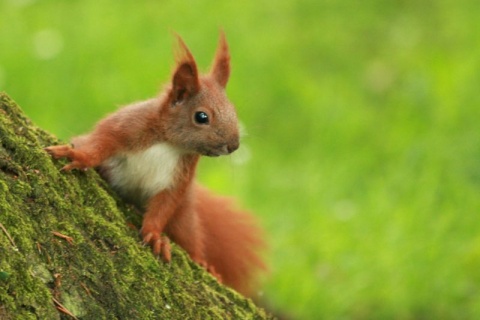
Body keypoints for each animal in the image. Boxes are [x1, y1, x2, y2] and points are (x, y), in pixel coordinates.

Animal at [44, 33, 266, 296]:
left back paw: (204, 263)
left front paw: (155, 235)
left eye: (233, 111)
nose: (233, 145)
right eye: (202, 117)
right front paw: (77, 155)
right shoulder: (124, 127)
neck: (169, 143)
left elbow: (165, 203)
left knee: (190, 238)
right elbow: (100, 143)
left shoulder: (180, 176)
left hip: (184, 217)